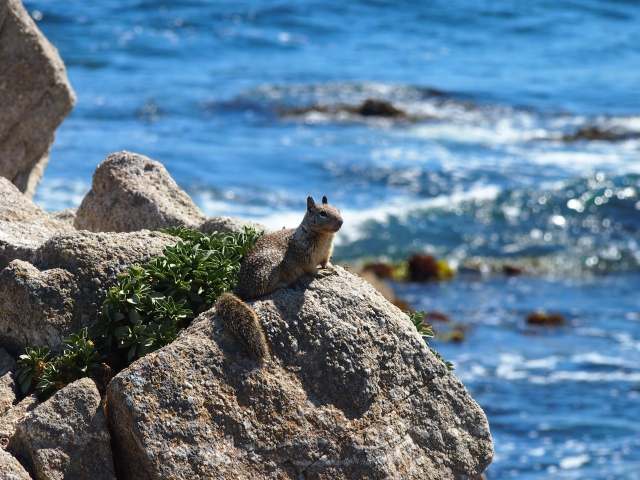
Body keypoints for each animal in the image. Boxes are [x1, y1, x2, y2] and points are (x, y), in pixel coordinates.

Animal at [216, 195, 344, 360]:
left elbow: (325, 262)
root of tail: (240, 288)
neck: (325, 237)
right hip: (269, 268)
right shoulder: (304, 255)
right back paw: (281, 285)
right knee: (259, 291)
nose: (341, 222)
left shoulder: (327, 252)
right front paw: (320, 273)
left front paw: (331, 267)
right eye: (323, 213)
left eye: (338, 210)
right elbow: (311, 269)